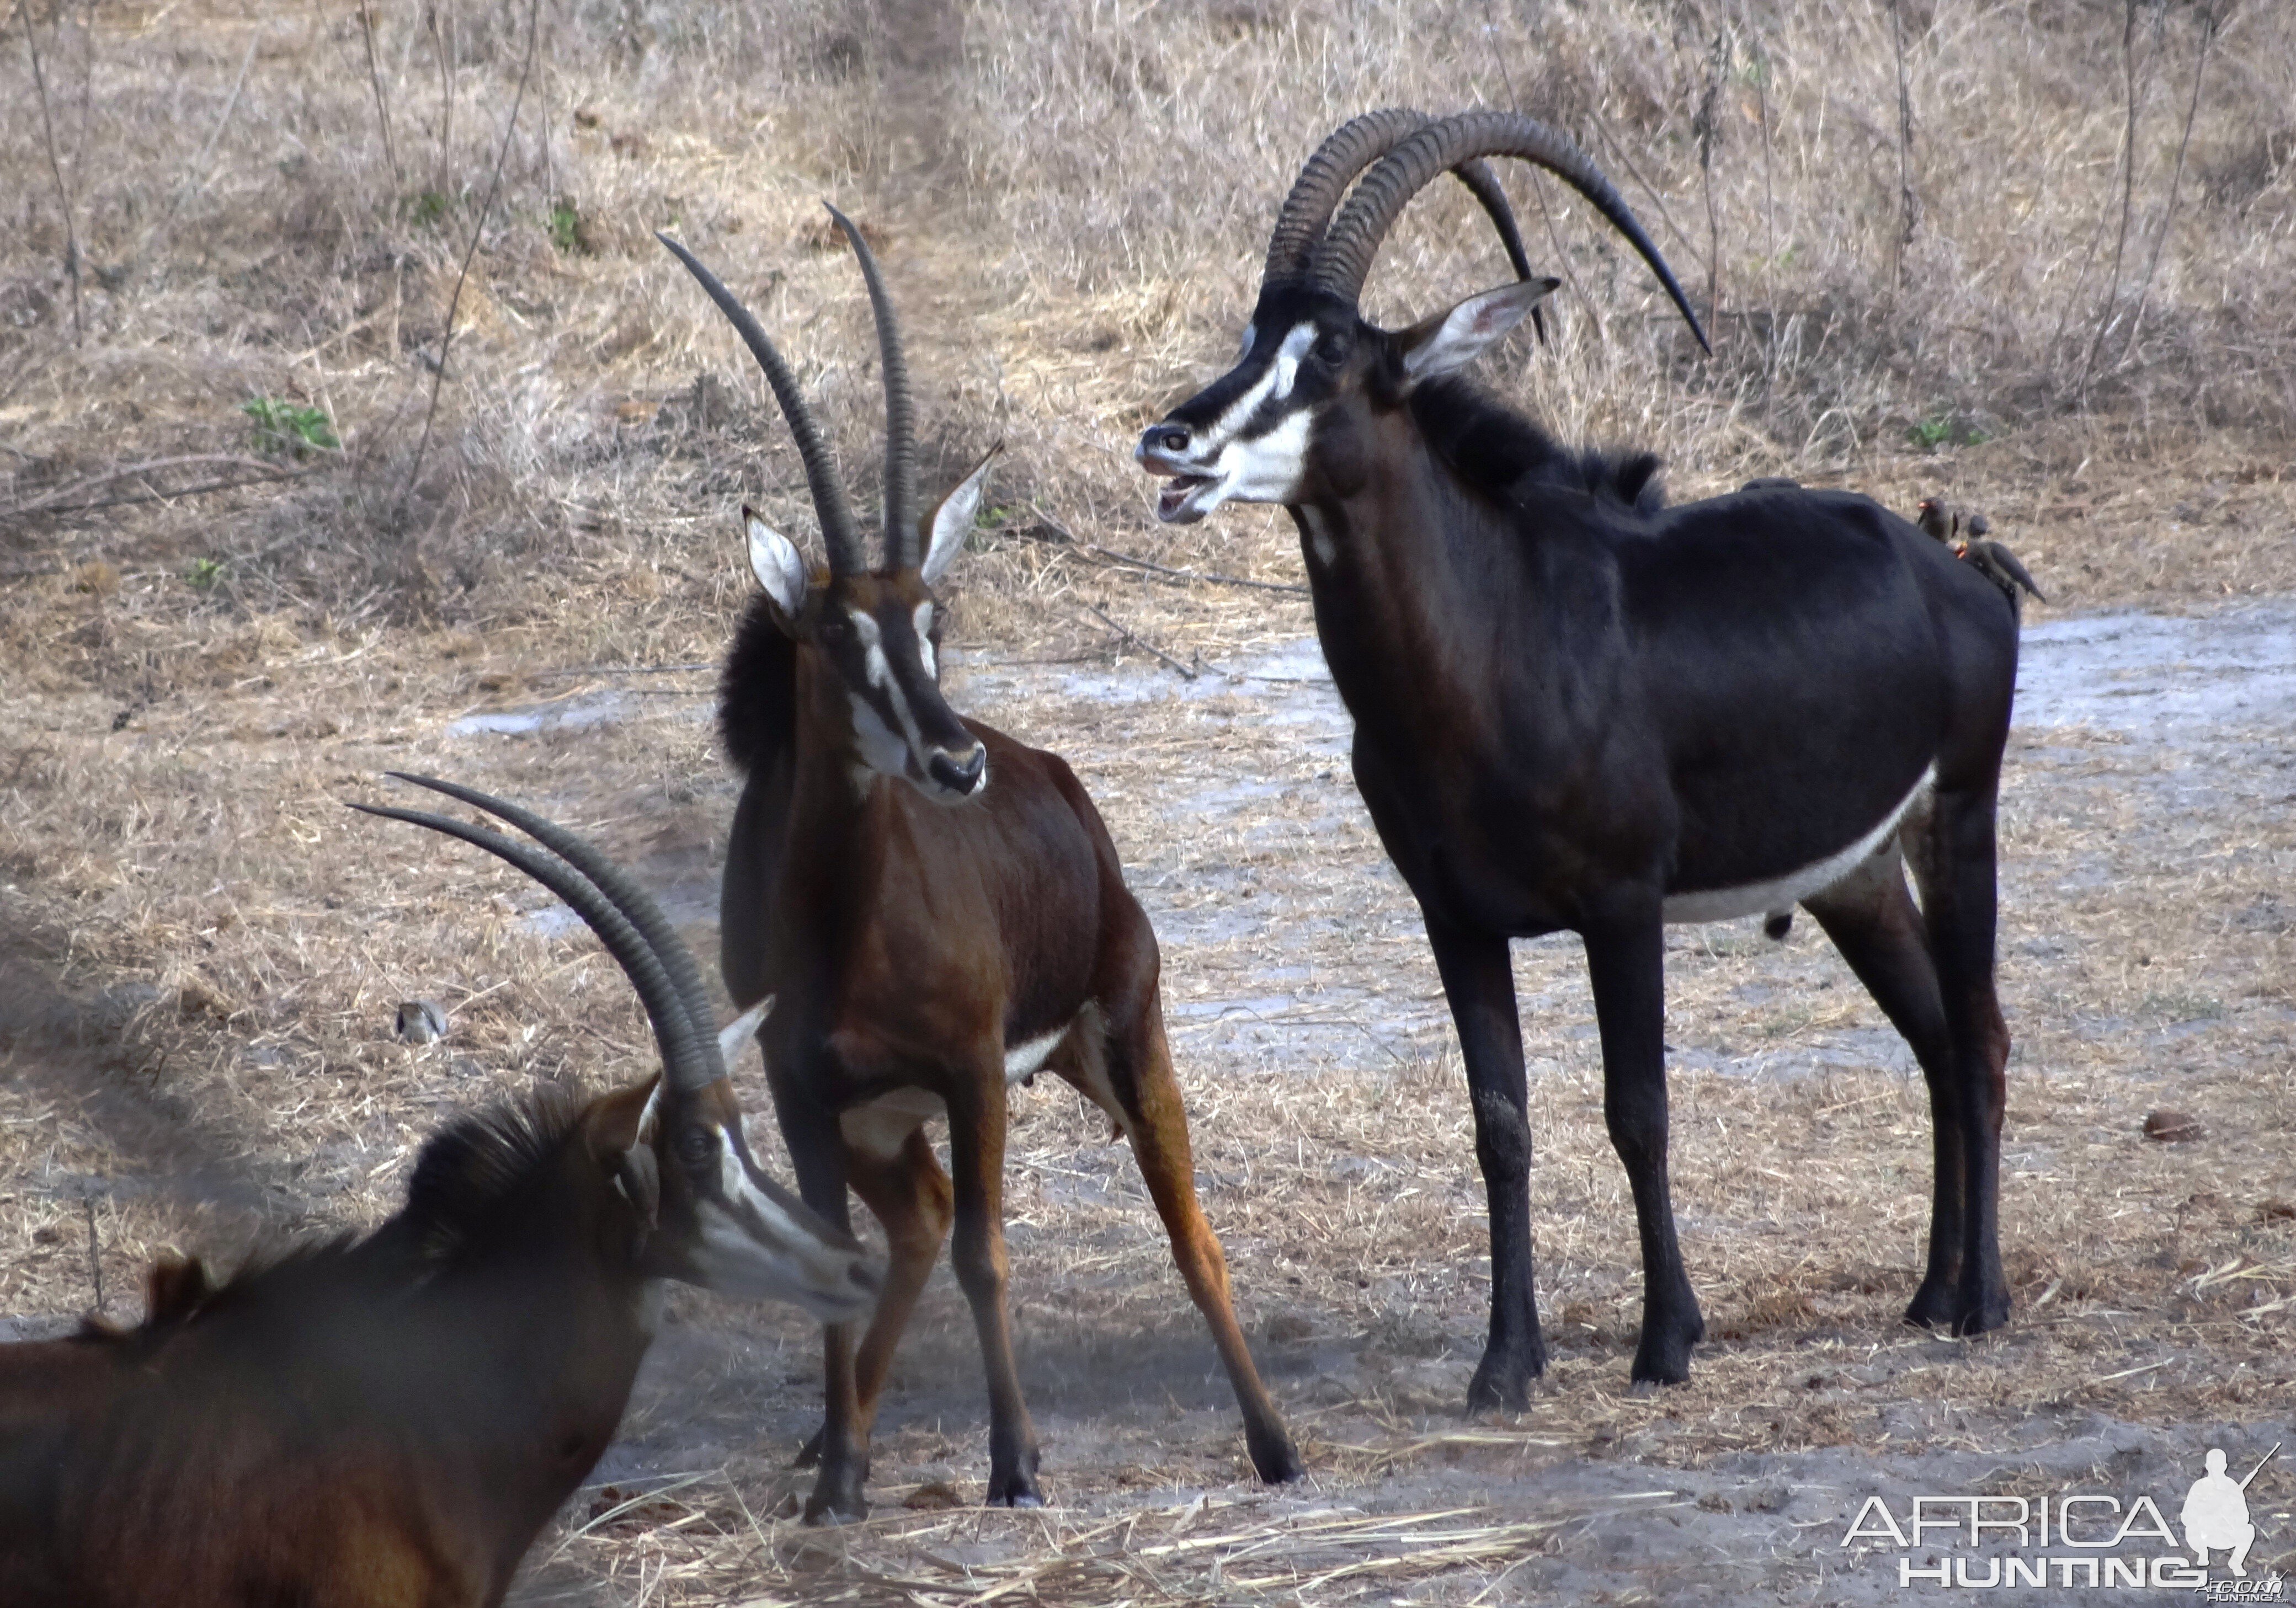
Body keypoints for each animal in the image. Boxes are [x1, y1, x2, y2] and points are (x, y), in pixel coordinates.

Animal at [657, 213, 1304, 1514]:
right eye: (837, 633)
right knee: (914, 1225)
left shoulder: (969, 1074)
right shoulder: (808, 1095)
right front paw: (840, 1476)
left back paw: (1273, 1442)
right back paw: (834, 1433)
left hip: (1120, 1042)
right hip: (886, 1123)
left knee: (1185, 1233)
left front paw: (1014, 1462)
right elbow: (852, 1255)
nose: (955, 761)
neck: (843, 921)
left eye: (932, 619)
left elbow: (987, 1253)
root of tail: (1060, 783)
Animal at [1138, 109, 2020, 1395]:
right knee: (1937, 1040)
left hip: (1958, 814)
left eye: (1336, 357)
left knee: (1983, 1036)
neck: (1496, 635)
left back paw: (1985, 1299)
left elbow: (1637, 1110)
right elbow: (1499, 1124)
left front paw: (1665, 1341)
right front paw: (1506, 1363)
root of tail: (1953, 565)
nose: (1170, 441)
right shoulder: (1453, 918)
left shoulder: (1622, 903)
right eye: (1253, 336)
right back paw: (1929, 1292)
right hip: (1856, 874)